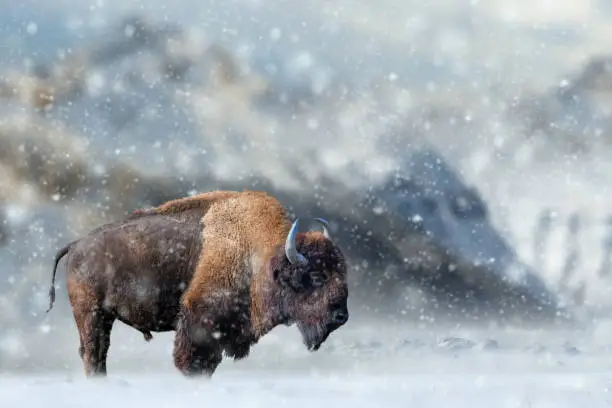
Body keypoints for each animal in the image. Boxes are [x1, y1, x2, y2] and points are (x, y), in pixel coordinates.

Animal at [46, 190, 350, 378]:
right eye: (316, 276)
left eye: (342, 272)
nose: (341, 316)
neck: (257, 255)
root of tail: (76, 245)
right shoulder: (199, 327)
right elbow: (192, 363)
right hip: (92, 315)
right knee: (94, 354)